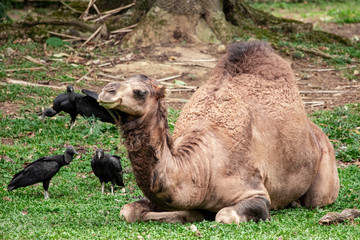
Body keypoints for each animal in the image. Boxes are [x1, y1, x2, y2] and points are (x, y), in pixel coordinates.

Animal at [97, 40, 338, 223]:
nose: (106, 90)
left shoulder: (255, 192)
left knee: (317, 199)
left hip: (324, 174)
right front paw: (190, 214)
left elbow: (225, 215)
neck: (203, 166)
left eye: (140, 92)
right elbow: (128, 211)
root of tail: (317, 132)